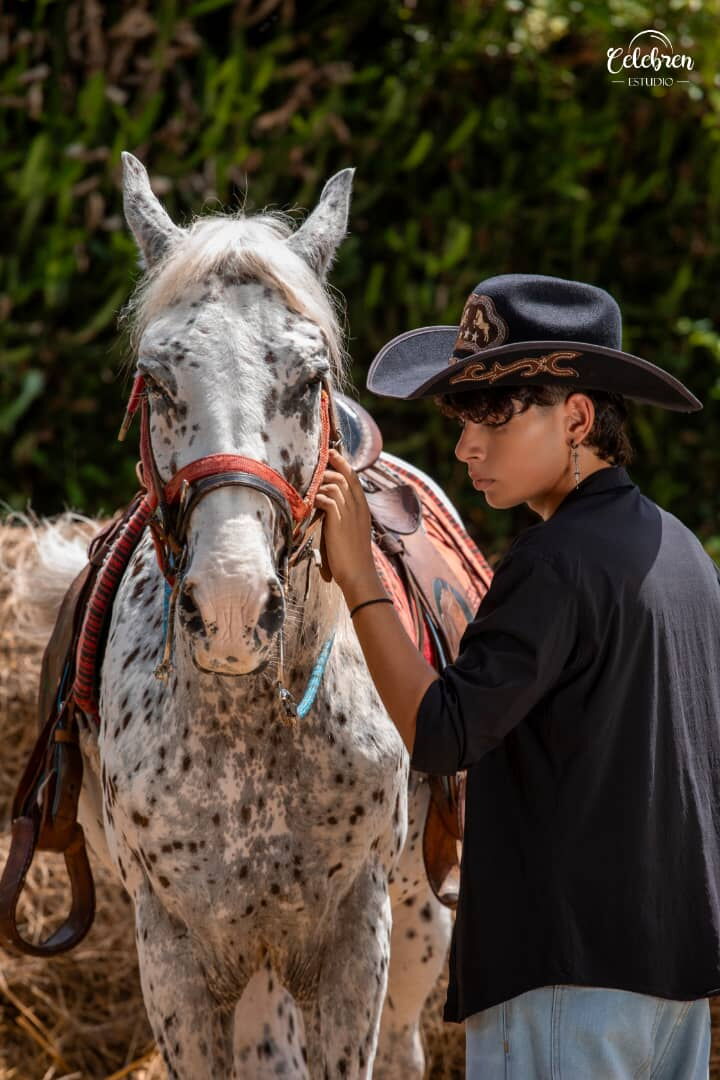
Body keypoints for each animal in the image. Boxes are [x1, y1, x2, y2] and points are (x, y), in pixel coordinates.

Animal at [27, 153, 462, 1078]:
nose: (230, 608)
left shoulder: (357, 936)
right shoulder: (174, 947)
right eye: (155, 379)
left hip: (416, 918)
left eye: (310, 379)